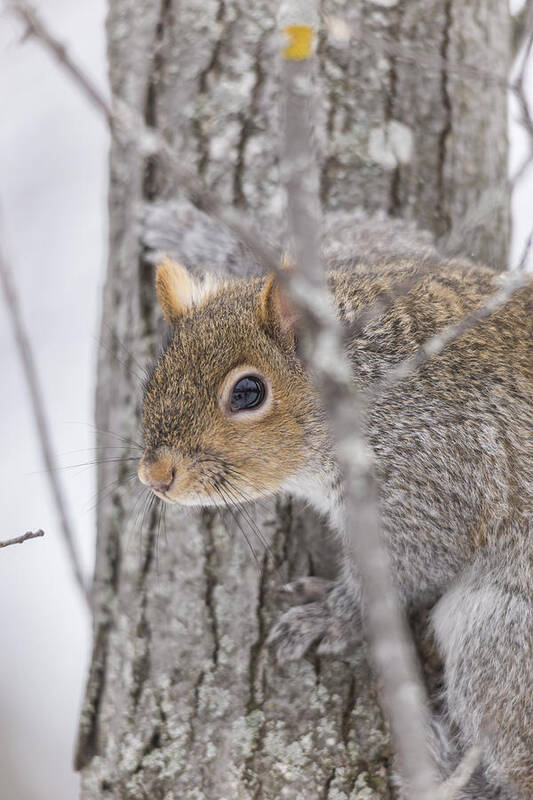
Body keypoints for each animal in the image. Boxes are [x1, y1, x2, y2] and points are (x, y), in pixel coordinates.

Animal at [138, 253, 532, 796]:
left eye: (247, 392)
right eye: (154, 378)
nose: (154, 478)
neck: (368, 381)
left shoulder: (434, 481)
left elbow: (403, 571)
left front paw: (327, 616)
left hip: (497, 633)